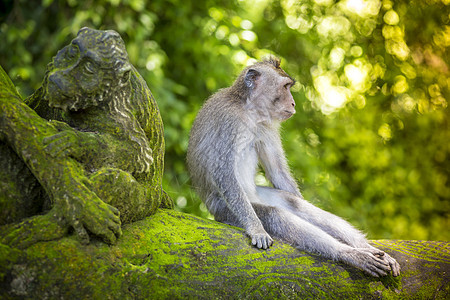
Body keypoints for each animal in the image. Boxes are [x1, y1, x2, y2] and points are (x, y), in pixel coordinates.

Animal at [186, 57, 400, 278]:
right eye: (285, 87)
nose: (293, 103)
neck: (249, 110)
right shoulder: (227, 121)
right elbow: (224, 175)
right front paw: (256, 229)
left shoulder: (267, 126)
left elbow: (277, 172)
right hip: (226, 211)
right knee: (275, 215)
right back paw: (349, 254)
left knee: (295, 204)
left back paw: (365, 248)